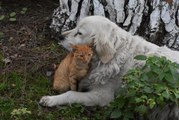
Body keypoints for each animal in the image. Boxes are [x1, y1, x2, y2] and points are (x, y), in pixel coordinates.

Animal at [39, 16, 179, 109]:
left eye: (79, 33)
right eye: (75, 27)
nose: (60, 36)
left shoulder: (102, 96)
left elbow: (71, 94)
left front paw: (50, 99)